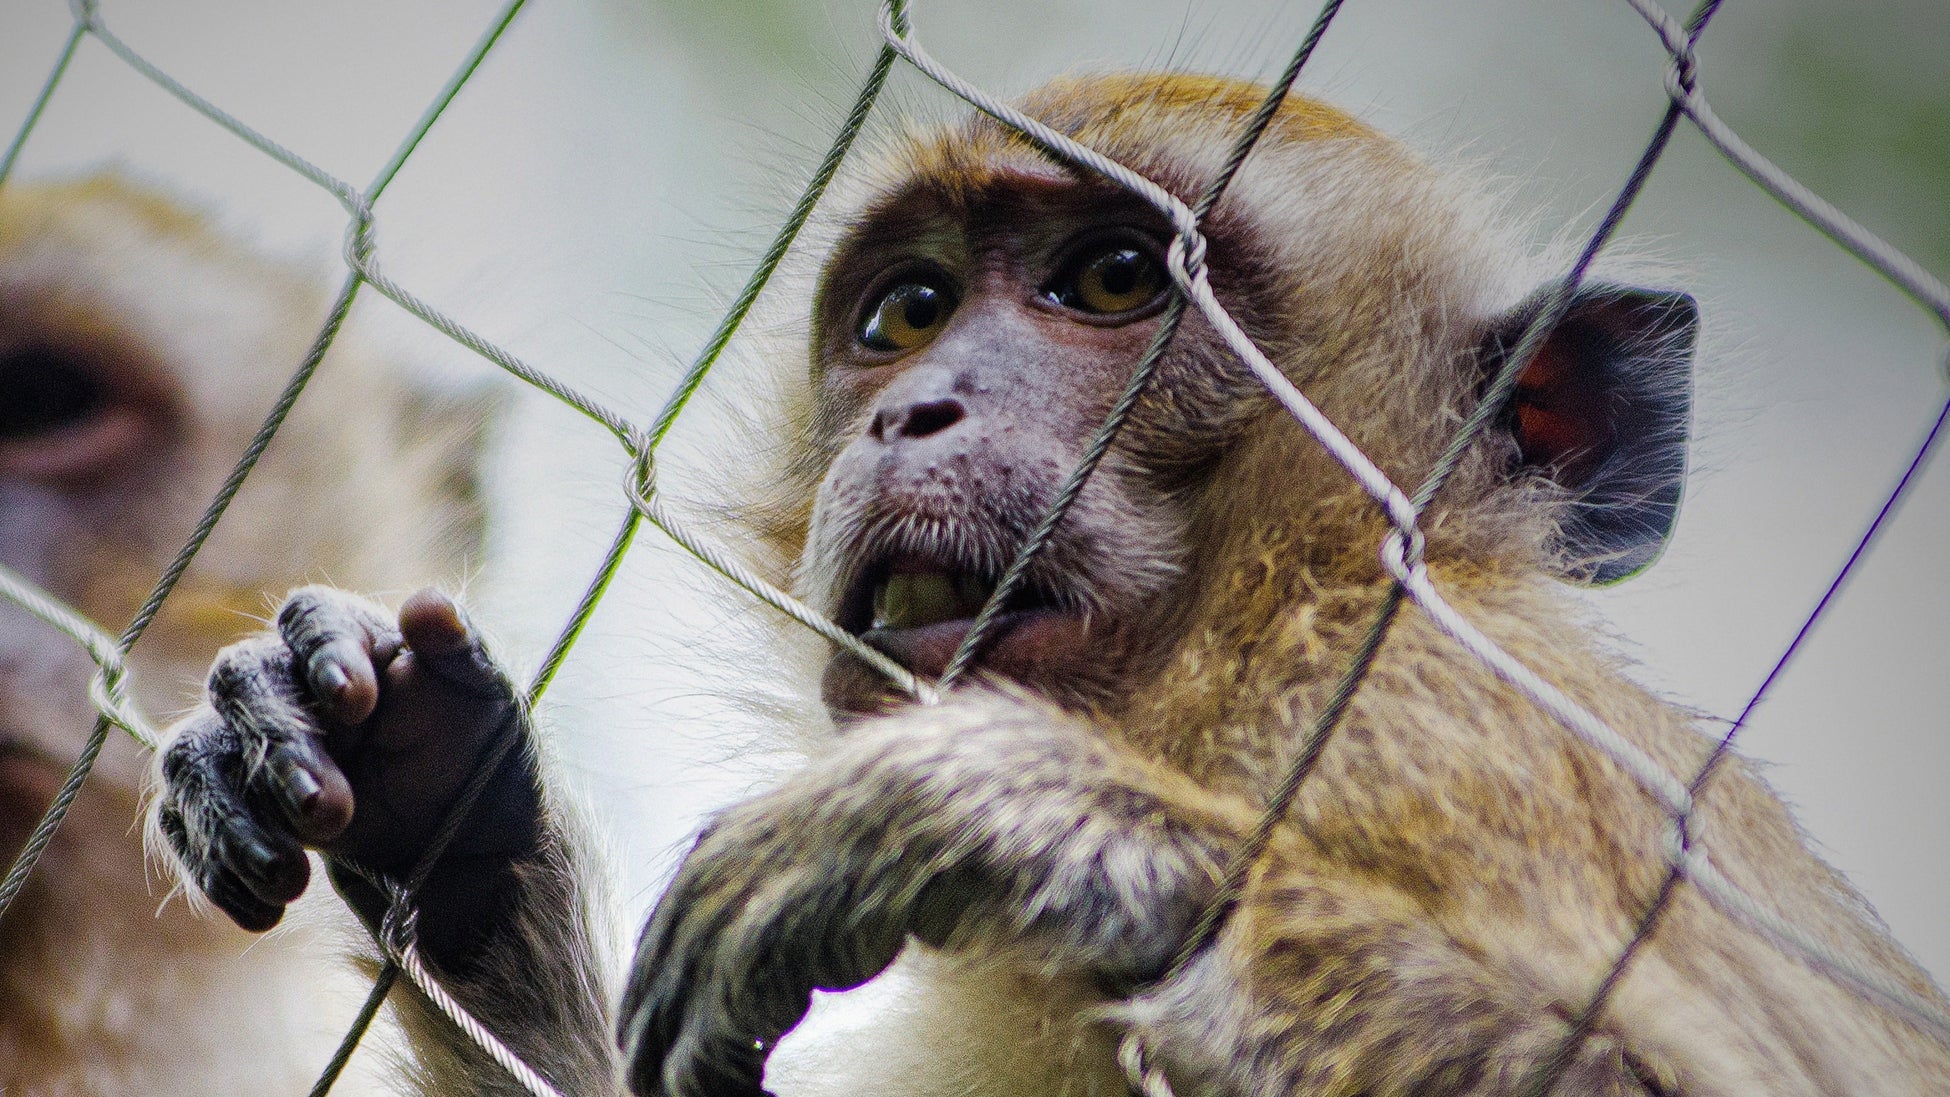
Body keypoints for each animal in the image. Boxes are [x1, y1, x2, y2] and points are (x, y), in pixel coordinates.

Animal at [152, 73, 1950, 1091]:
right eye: (907, 313)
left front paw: (1018, 820)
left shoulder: (1437, 732)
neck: (1222, 661)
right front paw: (432, 803)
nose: (916, 411)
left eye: (1114, 280)